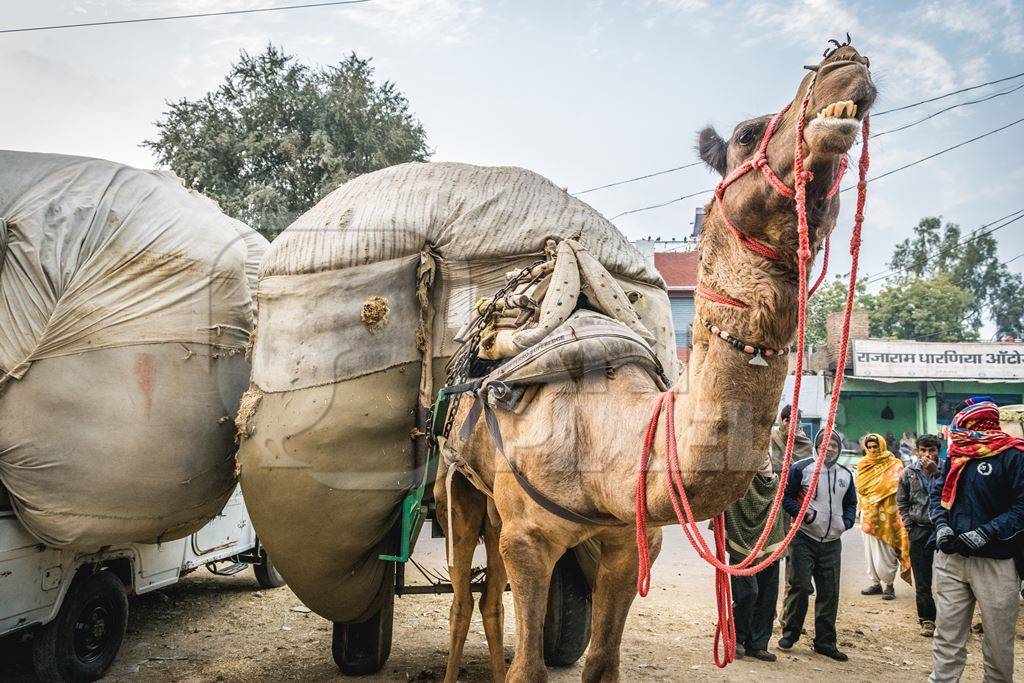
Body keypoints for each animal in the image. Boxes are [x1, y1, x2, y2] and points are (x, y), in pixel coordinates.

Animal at [436, 44, 876, 683]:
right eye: (746, 134)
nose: (845, 62)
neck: (600, 433)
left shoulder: (627, 542)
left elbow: (601, 661)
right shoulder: (528, 540)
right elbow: (530, 668)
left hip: (497, 507)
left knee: (490, 595)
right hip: (460, 491)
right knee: (464, 599)